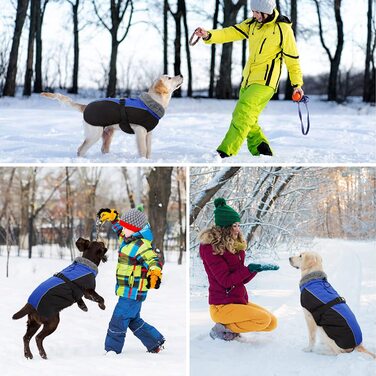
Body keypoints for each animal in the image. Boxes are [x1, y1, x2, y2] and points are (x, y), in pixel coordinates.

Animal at [40, 75, 183, 159]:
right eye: (169, 78)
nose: (181, 74)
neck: (153, 102)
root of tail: (85, 106)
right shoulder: (140, 131)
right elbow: (143, 150)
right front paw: (142, 160)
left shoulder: (149, 133)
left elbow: (149, 150)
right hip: (94, 133)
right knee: (81, 149)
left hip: (108, 133)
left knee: (103, 149)